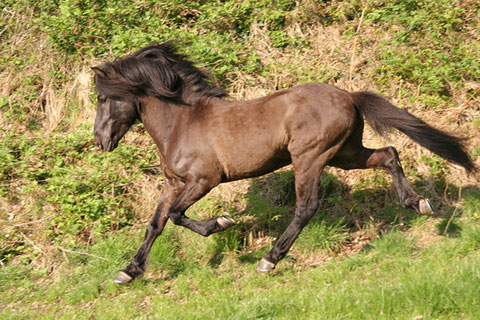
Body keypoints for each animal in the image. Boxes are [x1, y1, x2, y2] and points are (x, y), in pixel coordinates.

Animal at [91, 42, 476, 282]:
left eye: (103, 99)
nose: (100, 141)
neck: (183, 122)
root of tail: (349, 97)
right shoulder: (173, 183)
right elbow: (155, 224)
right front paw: (128, 272)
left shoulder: (204, 180)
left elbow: (175, 216)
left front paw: (222, 222)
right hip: (346, 154)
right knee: (389, 154)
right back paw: (418, 203)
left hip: (310, 157)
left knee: (307, 207)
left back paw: (269, 260)